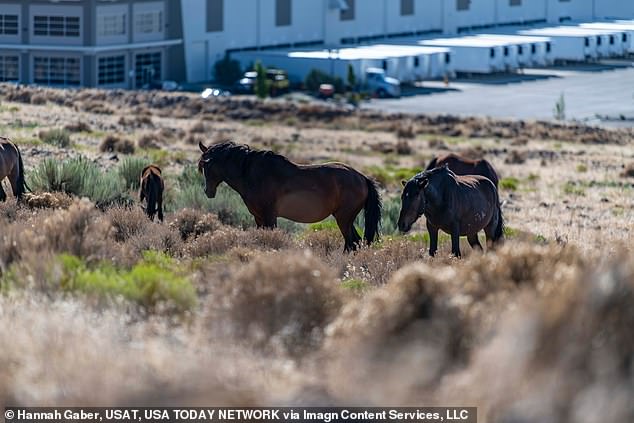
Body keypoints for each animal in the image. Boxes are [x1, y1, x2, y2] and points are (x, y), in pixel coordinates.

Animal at [196, 142, 380, 252]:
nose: (207, 191)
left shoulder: (269, 216)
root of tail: (362, 178)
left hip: (344, 218)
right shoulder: (258, 217)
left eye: (206, 165)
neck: (252, 173)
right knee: (354, 243)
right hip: (345, 219)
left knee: (351, 243)